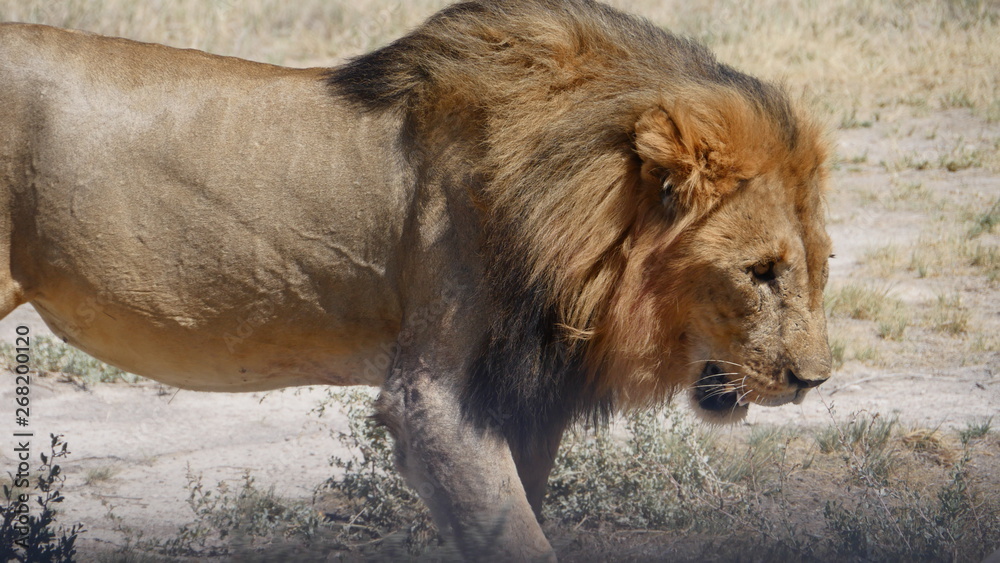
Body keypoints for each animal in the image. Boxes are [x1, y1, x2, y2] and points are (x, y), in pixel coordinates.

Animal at [0, 0, 832, 559]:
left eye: (821, 266)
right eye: (759, 272)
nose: (813, 380)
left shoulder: (521, 403)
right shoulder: (435, 400)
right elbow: (515, 538)